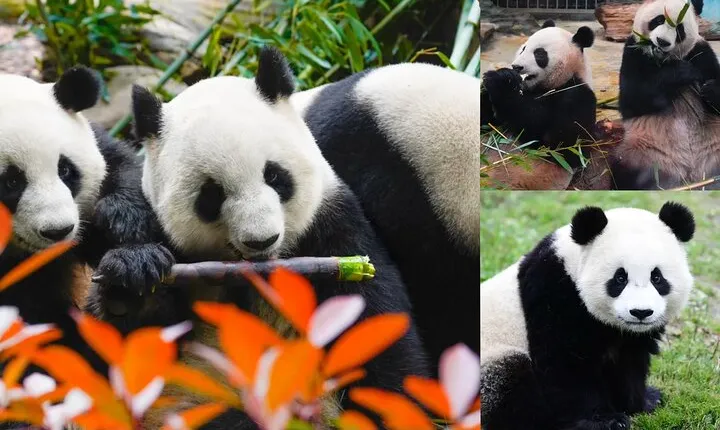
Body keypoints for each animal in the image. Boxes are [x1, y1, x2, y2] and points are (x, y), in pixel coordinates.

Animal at [87, 47, 431, 428]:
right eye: (211, 196)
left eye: (275, 176)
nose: (261, 240)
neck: (260, 275)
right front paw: (133, 276)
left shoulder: (335, 227)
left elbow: (374, 326)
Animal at [480, 201, 695, 429]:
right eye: (620, 278)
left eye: (657, 277)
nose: (641, 312)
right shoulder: (553, 296)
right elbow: (567, 364)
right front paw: (605, 420)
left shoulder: (630, 337)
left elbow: (629, 363)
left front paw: (645, 401)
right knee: (508, 381)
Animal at [481, 20, 597, 190]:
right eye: (523, 48)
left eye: (540, 54)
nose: (516, 67)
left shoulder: (578, 97)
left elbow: (564, 147)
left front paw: (502, 81)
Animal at [613, 0, 720, 189]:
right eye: (659, 20)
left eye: (679, 29)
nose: (661, 42)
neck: (664, 59)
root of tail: (690, 172)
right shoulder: (633, 51)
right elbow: (632, 100)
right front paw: (681, 72)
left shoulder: (701, 52)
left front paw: (709, 89)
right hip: (646, 152)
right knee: (626, 170)